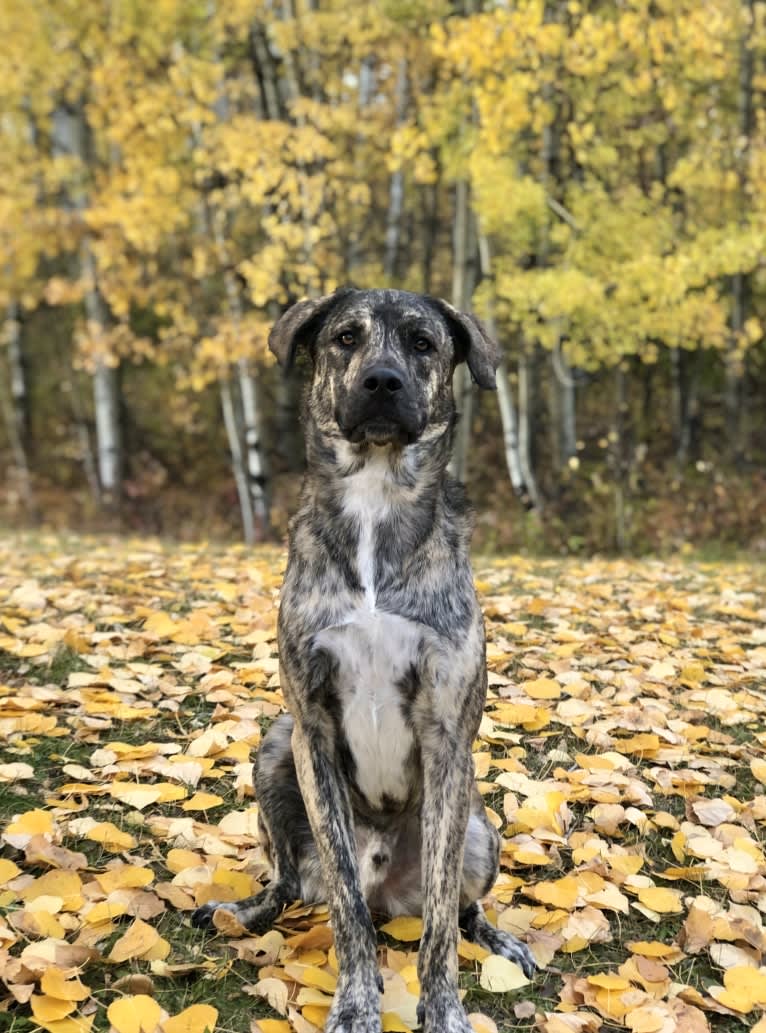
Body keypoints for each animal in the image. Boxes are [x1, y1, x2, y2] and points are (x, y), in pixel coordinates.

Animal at [195, 289, 536, 1033]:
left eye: (423, 344)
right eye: (346, 338)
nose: (382, 382)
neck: (377, 500)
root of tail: (389, 890)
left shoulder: (447, 735)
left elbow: (438, 927)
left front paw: (443, 1011)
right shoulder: (313, 728)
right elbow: (346, 910)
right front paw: (356, 1001)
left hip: (478, 830)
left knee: (462, 908)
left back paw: (503, 940)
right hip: (275, 751)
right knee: (292, 883)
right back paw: (244, 911)